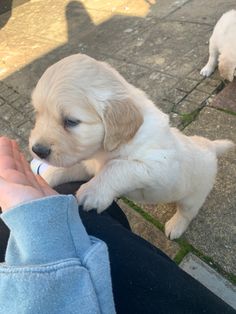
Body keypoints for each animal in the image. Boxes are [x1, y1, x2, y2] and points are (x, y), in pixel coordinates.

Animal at [30, 54, 234, 240]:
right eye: (38, 113)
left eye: (71, 121)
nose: (37, 150)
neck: (104, 150)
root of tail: (209, 146)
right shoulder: (87, 164)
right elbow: (64, 169)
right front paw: (43, 179)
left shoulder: (160, 165)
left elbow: (118, 166)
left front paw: (93, 191)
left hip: (193, 196)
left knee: (187, 212)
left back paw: (175, 226)